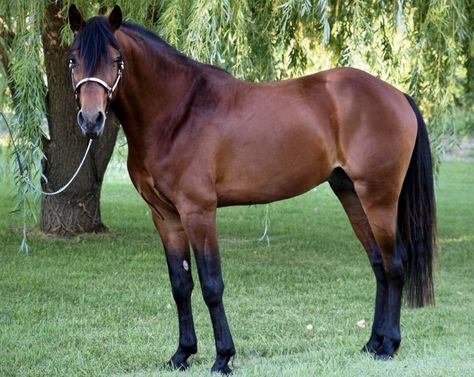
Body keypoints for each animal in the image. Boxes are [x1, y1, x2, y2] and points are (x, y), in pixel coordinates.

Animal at [67, 5, 436, 374]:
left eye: (116, 59)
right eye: (72, 59)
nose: (91, 120)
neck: (177, 114)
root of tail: (397, 95)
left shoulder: (198, 212)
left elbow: (211, 285)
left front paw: (223, 358)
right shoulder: (165, 216)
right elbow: (181, 285)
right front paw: (182, 354)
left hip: (379, 198)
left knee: (395, 263)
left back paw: (389, 346)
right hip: (351, 195)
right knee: (378, 264)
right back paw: (372, 343)